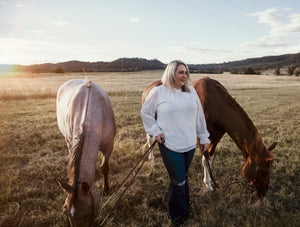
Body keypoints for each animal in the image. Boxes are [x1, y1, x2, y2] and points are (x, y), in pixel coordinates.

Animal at [56, 79, 116, 225]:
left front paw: (106, 190)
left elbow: (104, 167)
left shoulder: (109, 146)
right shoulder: (72, 142)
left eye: (86, 214)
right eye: (65, 211)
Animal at [141, 77, 276, 197]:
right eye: (264, 172)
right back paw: (151, 156)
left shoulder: (216, 136)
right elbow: (204, 160)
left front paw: (210, 181)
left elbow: (210, 158)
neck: (216, 105)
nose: (263, 193)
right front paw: (207, 184)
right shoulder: (200, 136)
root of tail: (149, 87)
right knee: (150, 140)